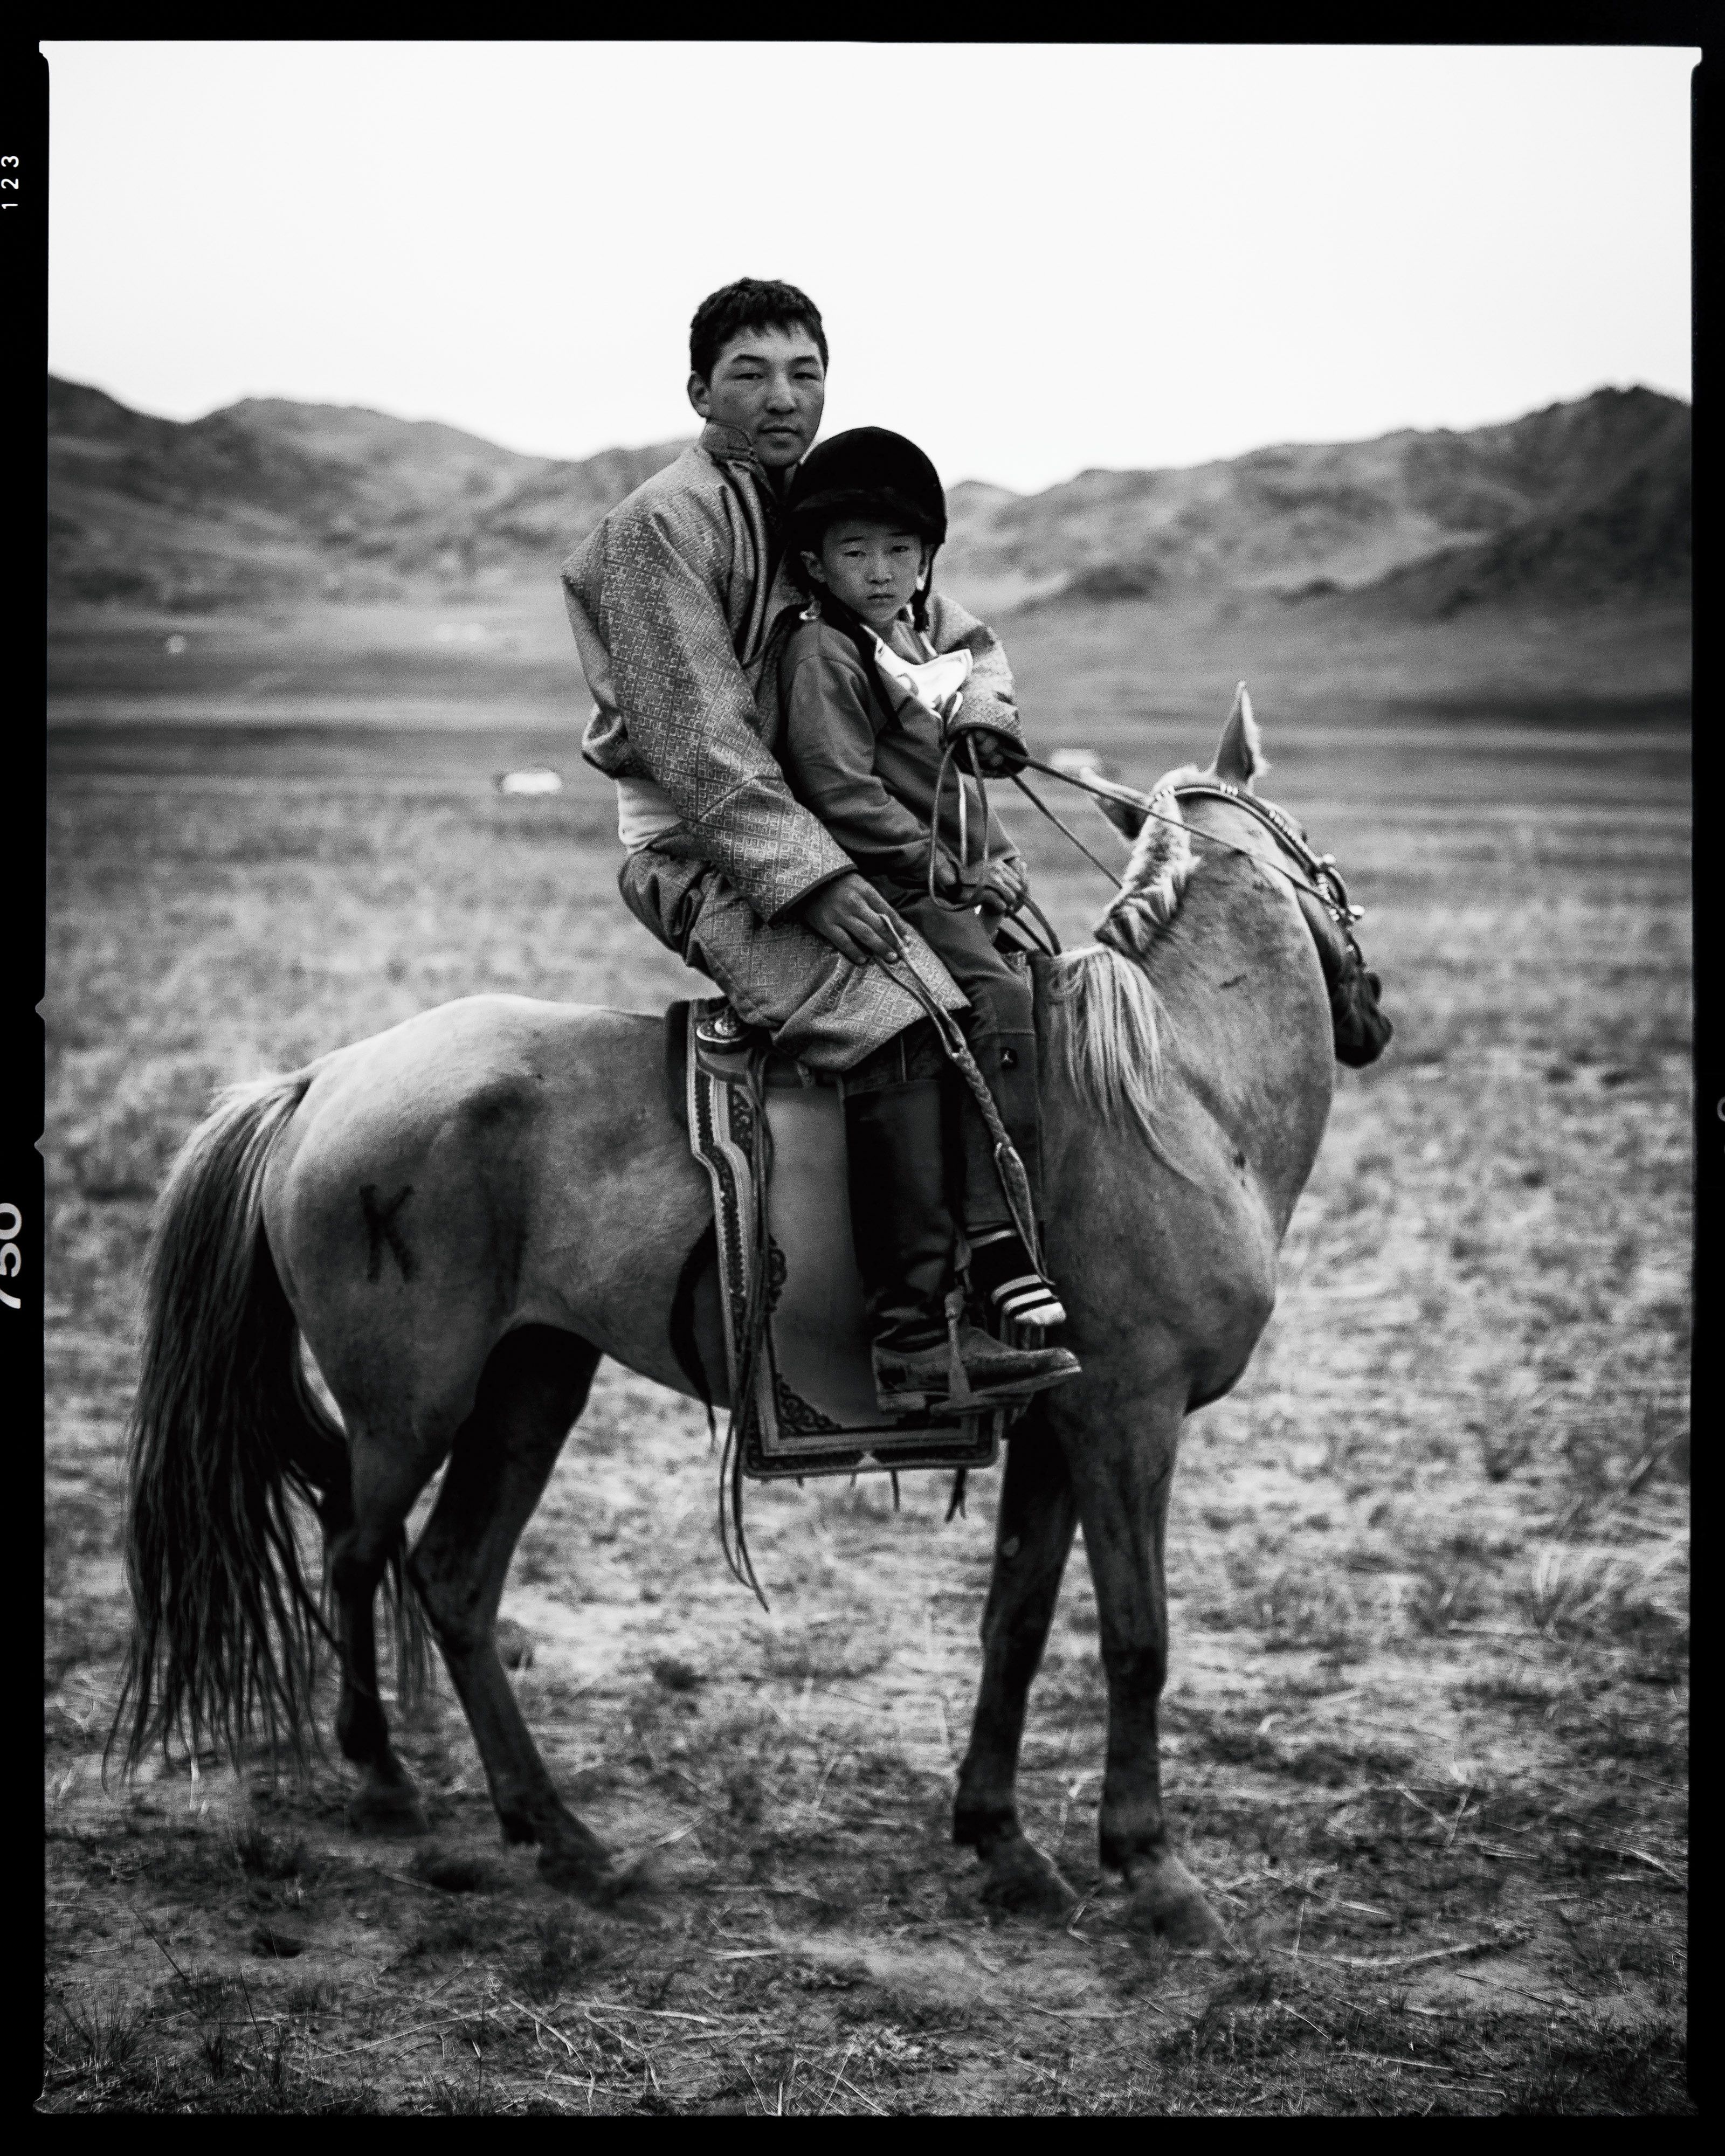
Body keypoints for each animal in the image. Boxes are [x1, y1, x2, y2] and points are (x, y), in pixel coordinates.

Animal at [112, 692, 1390, 1945]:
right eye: (1316, 854)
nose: (1373, 1011)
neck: (1178, 1093)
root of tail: (319, 1080)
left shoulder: (1057, 1429)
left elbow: (1016, 1623)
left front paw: (1003, 1842)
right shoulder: (1130, 1418)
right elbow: (1137, 1638)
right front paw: (1152, 1869)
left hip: (533, 1379)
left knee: (451, 1577)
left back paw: (565, 1839)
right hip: (412, 1402)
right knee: (355, 1545)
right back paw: (388, 1779)